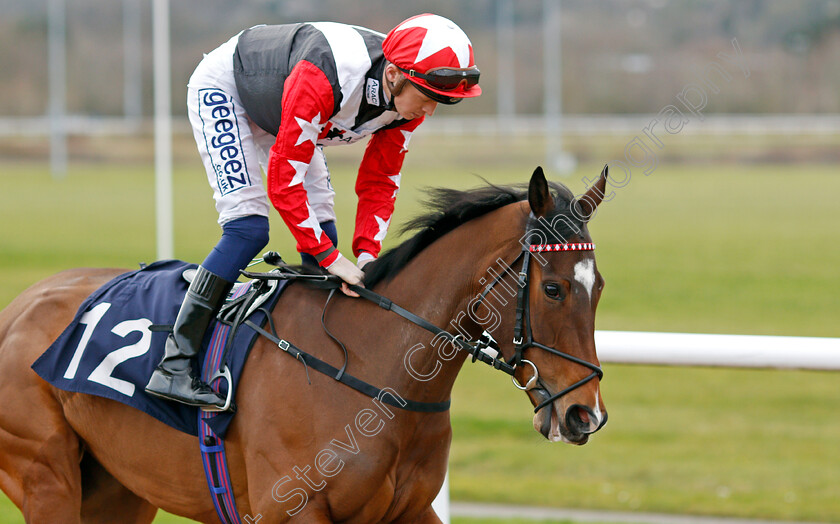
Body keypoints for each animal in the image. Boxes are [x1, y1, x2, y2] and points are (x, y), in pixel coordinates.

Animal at [0, 166, 608, 520]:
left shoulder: (410, 510)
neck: (380, 371)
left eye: (598, 286)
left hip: (118, 490)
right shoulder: (291, 509)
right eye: (553, 288)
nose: (586, 414)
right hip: (46, 475)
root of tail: (18, 307)